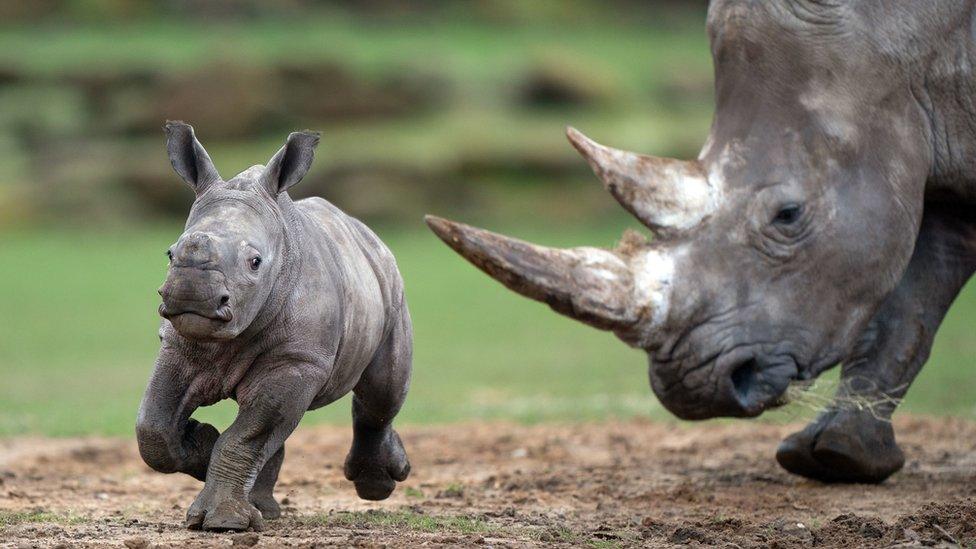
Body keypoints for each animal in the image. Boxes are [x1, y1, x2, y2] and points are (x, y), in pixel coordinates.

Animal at [137, 121, 412, 532]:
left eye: (255, 262)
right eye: (171, 253)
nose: (192, 297)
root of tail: (367, 234)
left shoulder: (298, 360)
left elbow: (248, 435)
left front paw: (225, 523)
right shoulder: (178, 344)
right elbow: (154, 427)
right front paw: (202, 443)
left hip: (391, 288)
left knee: (382, 392)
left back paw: (378, 486)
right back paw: (263, 509)